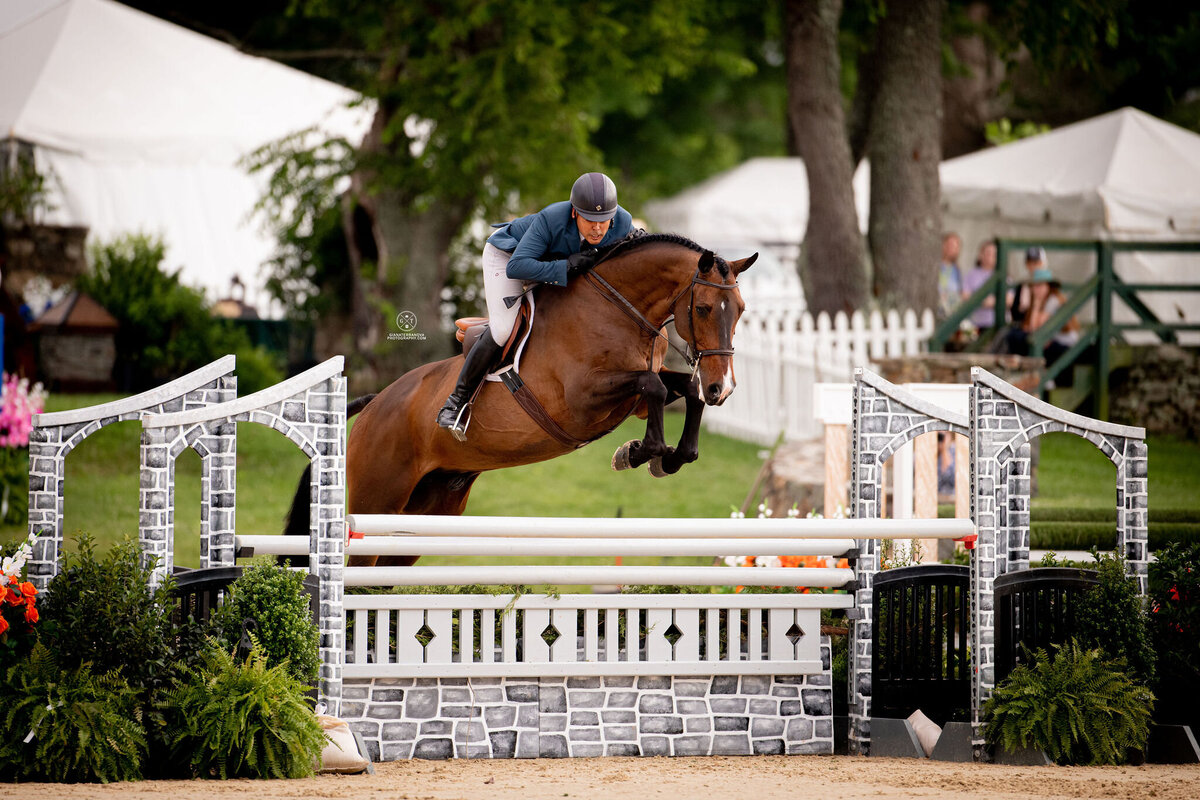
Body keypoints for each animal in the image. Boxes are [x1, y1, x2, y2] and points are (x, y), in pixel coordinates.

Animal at [282, 232, 753, 568]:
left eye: (742, 310)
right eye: (705, 308)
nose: (724, 389)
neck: (620, 309)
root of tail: (375, 404)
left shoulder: (634, 396)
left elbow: (684, 391)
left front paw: (670, 456)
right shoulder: (582, 398)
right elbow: (654, 387)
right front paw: (639, 452)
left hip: (424, 516)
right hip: (377, 503)